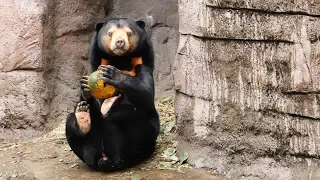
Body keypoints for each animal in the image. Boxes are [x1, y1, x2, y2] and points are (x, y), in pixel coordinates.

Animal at [65, 18, 160, 172]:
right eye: (110, 33)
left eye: (129, 33)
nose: (120, 42)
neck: (120, 59)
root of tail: (107, 160)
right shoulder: (97, 60)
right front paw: (85, 86)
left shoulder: (142, 61)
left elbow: (146, 93)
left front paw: (113, 74)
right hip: (90, 147)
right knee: (72, 123)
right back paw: (82, 116)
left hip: (142, 135)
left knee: (133, 116)